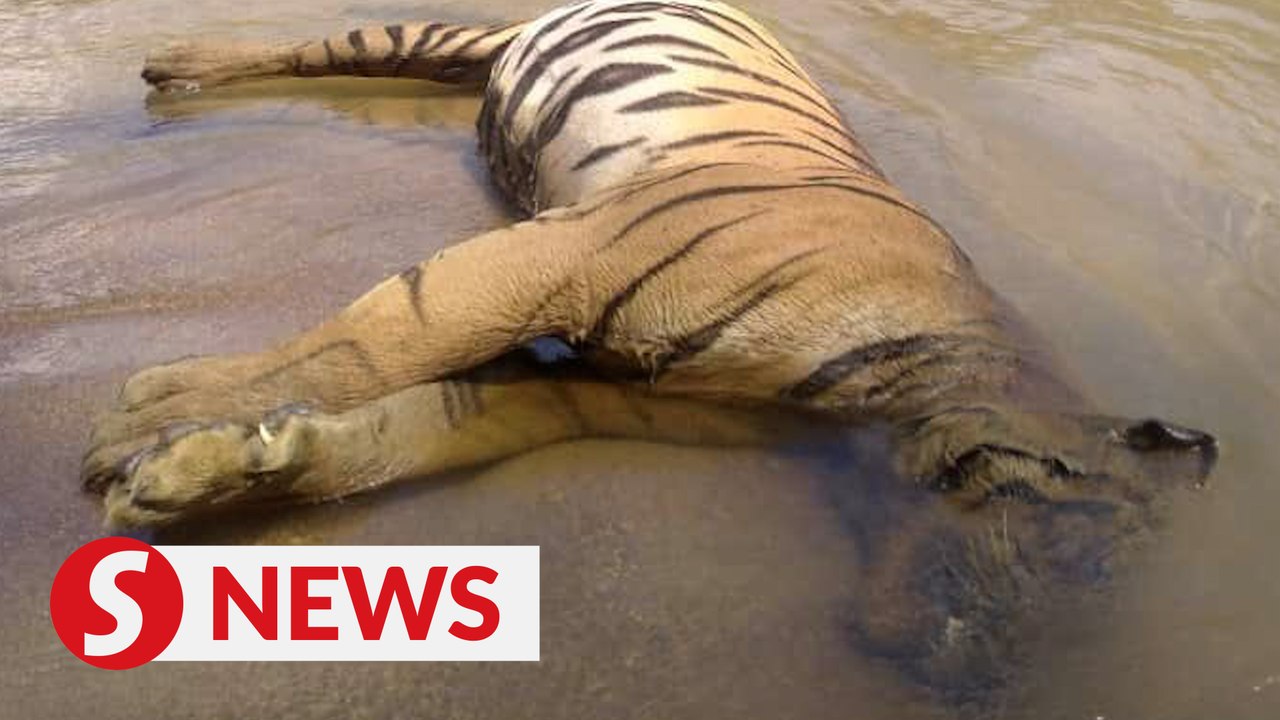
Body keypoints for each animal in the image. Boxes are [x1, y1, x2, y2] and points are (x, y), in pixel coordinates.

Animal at [84, 0, 1216, 701]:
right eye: (1086, 556)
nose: (983, 692)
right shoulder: (567, 250)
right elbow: (376, 340)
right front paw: (143, 414)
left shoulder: (595, 388)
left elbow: (416, 420)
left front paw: (210, 472)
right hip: (444, 39)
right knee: (330, 44)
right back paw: (179, 65)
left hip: (462, 61)